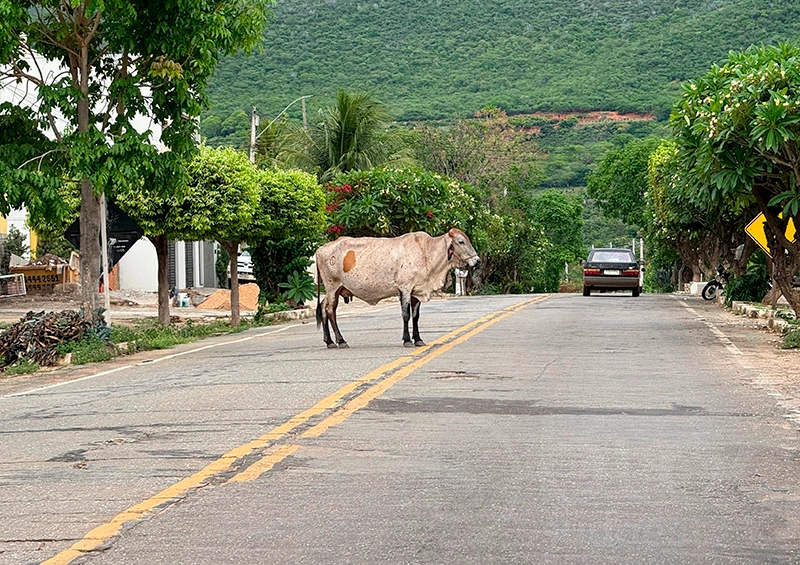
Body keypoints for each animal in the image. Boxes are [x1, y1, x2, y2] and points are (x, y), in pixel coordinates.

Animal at [318, 229, 482, 348]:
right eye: (461, 241)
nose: (478, 261)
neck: (426, 252)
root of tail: (321, 249)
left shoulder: (416, 291)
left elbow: (415, 316)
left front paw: (418, 339)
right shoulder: (405, 289)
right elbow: (406, 315)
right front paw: (407, 340)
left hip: (335, 289)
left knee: (323, 307)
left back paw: (329, 341)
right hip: (333, 286)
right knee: (330, 311)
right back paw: (340, 341)